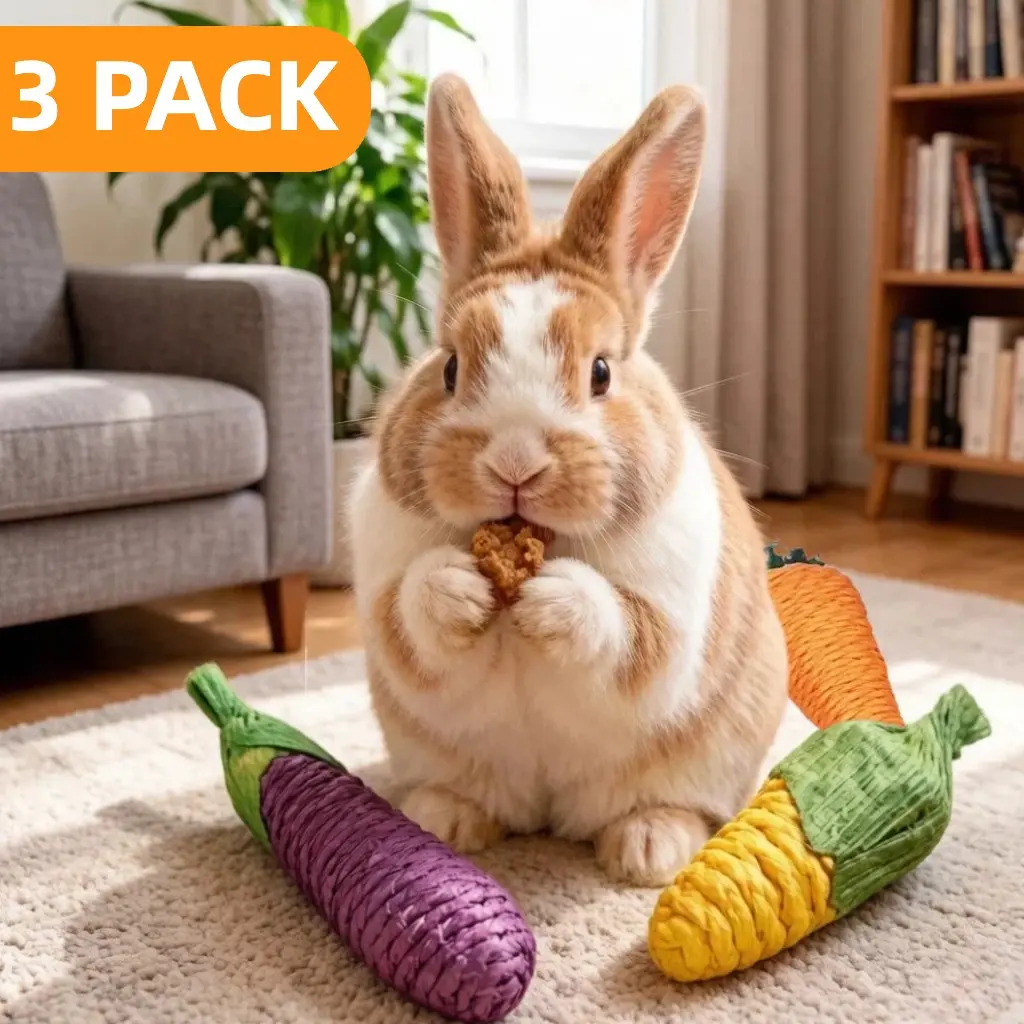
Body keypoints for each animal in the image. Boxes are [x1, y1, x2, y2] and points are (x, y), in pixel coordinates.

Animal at [347, 73, 789, 887]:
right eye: (449, 368)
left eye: (601, 372)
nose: (514, 463)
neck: (536, 539)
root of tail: (551, 811)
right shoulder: (387, 587)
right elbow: (409, 616)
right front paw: (458, 588)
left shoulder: (667, 613)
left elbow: (626, 634)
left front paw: (554, 599)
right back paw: (446, 819)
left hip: (710, 756)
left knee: (672, 806)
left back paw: (646, 849)